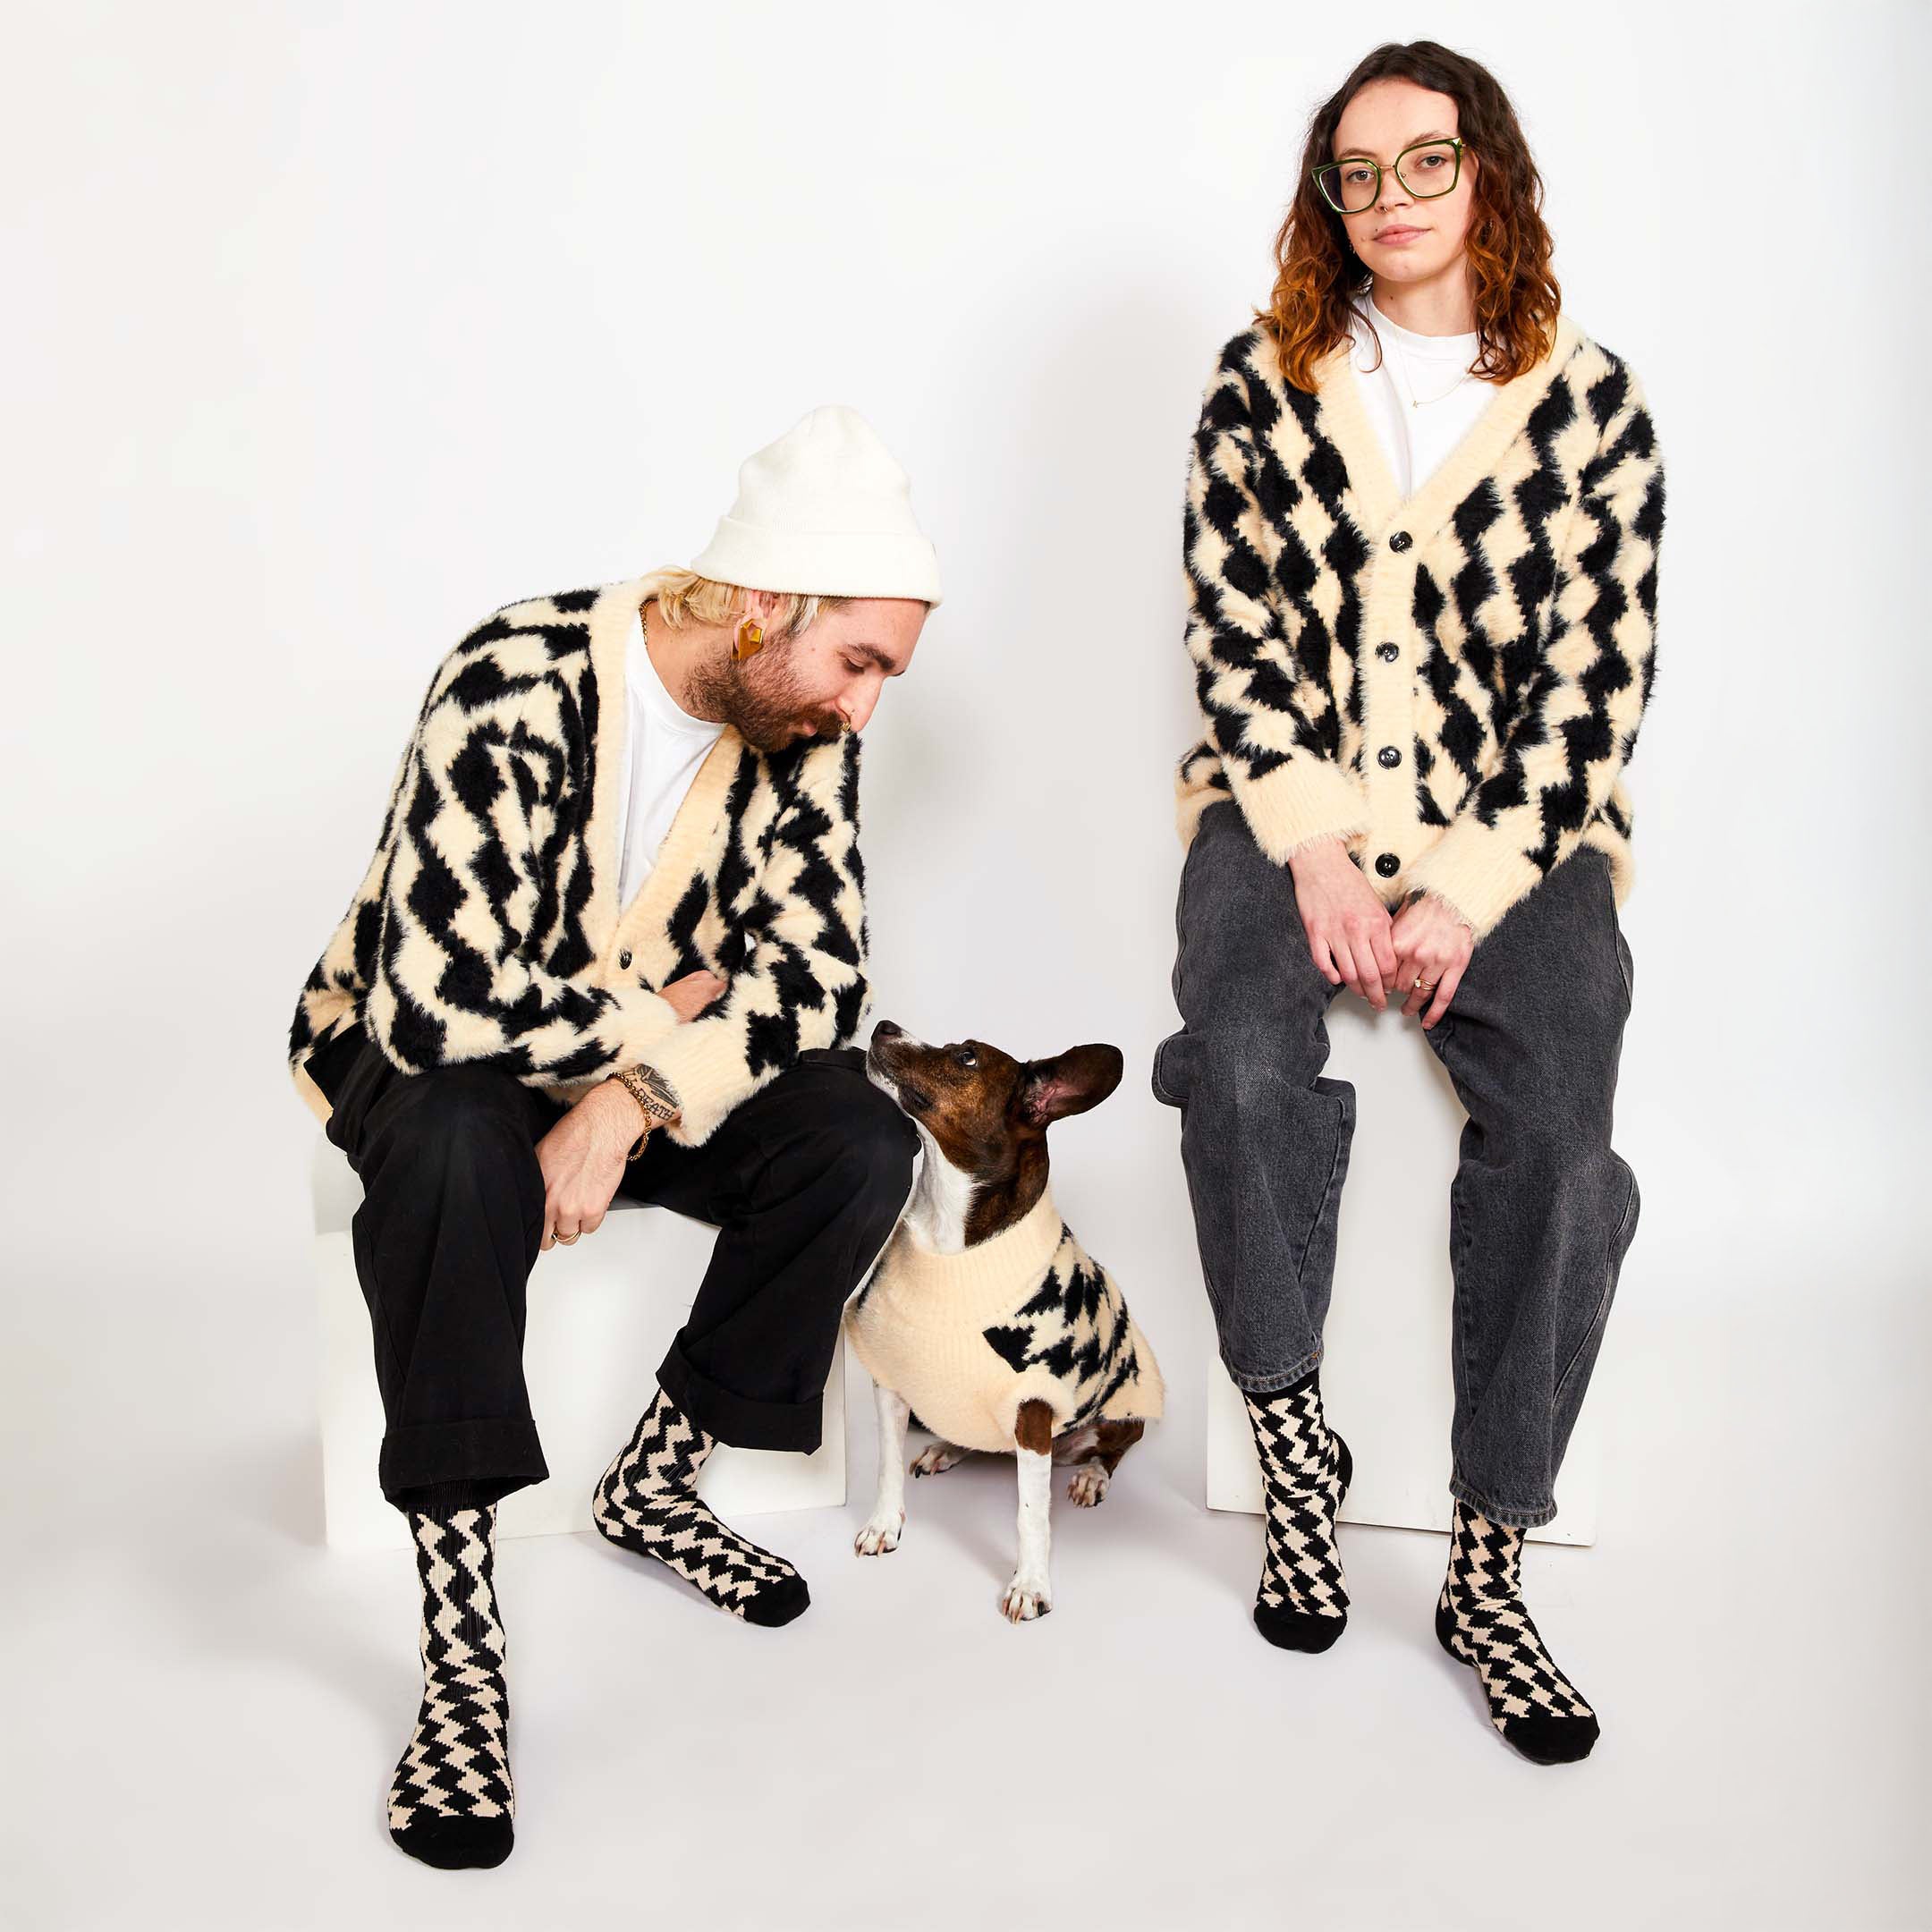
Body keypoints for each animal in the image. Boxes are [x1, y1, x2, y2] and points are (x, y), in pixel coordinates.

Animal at [846, 1020, 1159, 1623]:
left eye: (966, 1058)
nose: (884, 1025)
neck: (948, 1237)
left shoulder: (1033, 1411)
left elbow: (1031, 1513)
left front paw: (1030, 1584)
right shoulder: (890, 1382)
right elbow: (886, 1465)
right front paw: (884, 1525)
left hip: (1121, 1411)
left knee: (1112, 1451)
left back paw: (1090, 1475)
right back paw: (947, 1448)